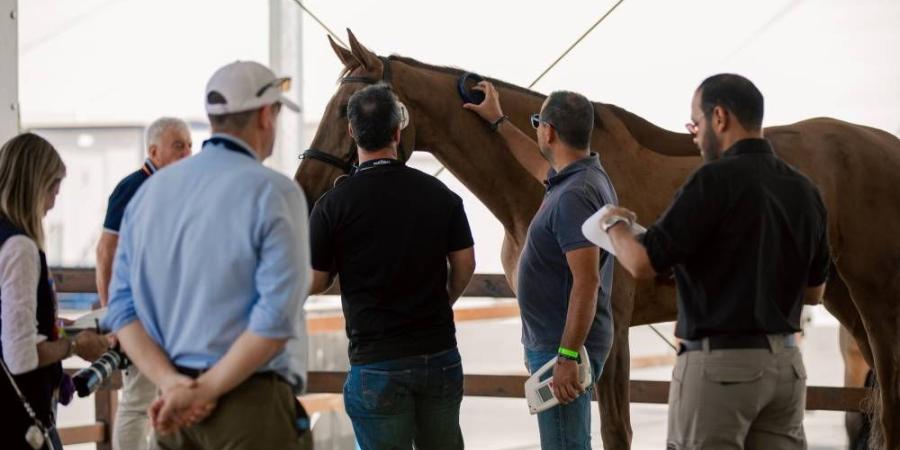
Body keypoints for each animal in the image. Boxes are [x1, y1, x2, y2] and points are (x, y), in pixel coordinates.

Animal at [296, 29, 900, 448]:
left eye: (347, 113)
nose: (304, 192)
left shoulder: (607, 326)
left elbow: (614, 430)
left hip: (877, 302)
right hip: (842, 298)